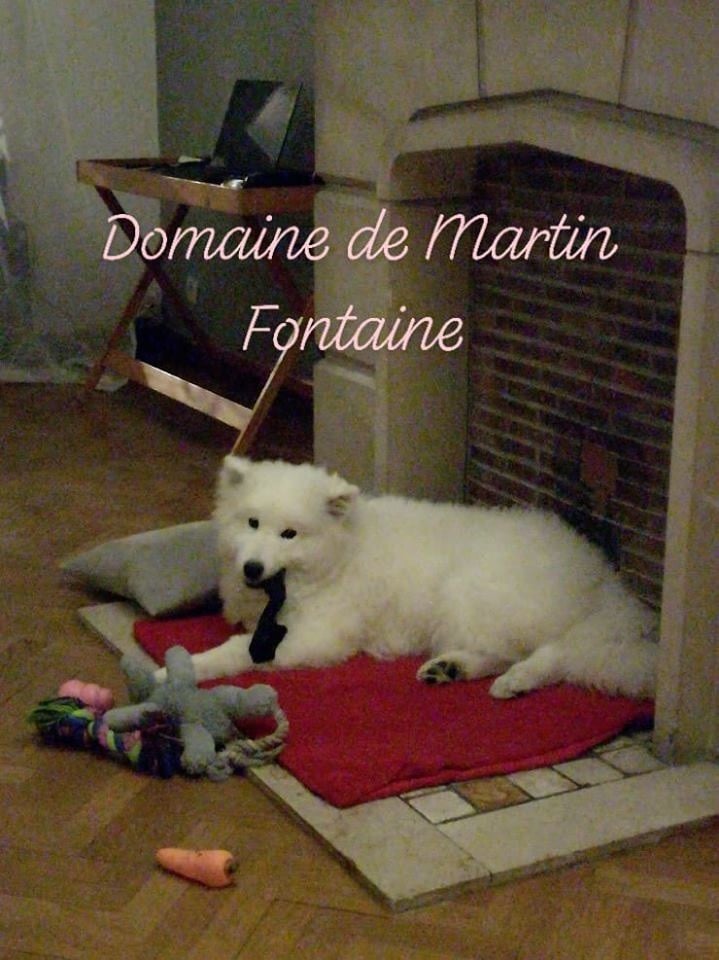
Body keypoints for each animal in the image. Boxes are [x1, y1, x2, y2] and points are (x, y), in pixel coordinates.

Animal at [173, 456, 658, 699]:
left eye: (289, 534)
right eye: (252, 523)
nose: (252, 568)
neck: (339, 556)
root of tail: (601, 578)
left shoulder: (316, 635)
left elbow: (236, 651)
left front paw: (182, 671)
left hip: (472, 593)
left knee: (558, 652)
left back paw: (516, 680)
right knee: (504, 651)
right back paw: (451, 668)